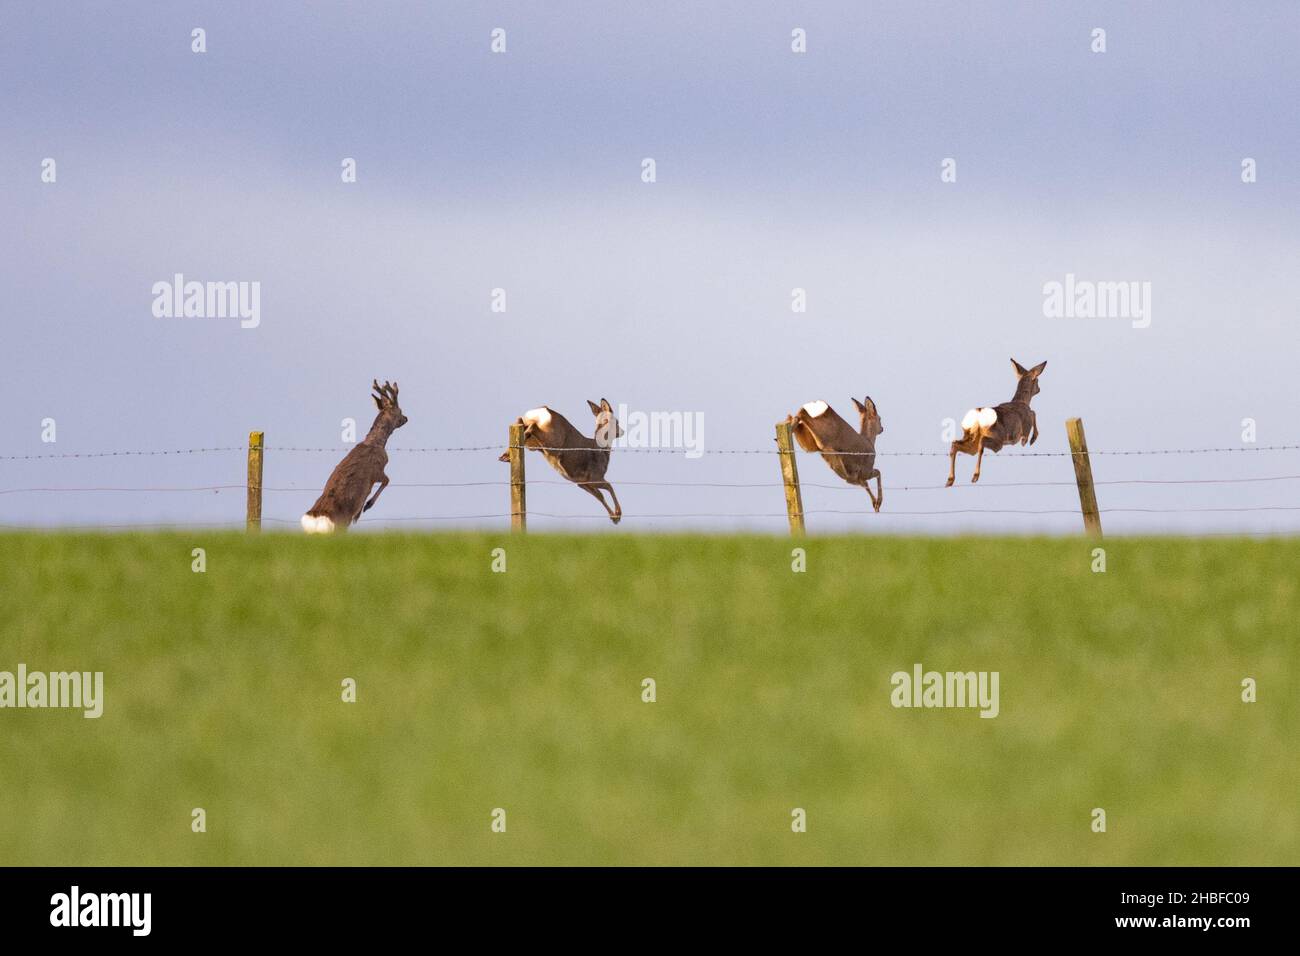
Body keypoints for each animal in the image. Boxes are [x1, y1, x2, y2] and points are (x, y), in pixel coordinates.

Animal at [301, 380, 408, 533]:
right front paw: (367, 505)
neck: (375, 443)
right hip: (340, 525)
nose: (406, 418)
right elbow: (387, 480)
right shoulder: (378, 470)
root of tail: (316, 519)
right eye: (400, 411)